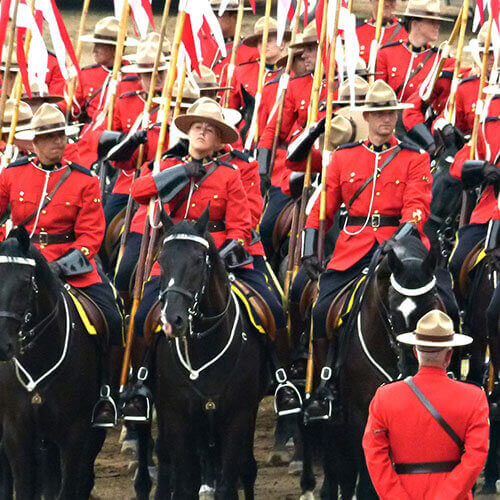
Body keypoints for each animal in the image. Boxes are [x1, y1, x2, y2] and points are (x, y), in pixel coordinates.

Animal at [0, 228, 104, 500]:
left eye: (26, 283)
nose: (2, 344)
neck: (39, 356)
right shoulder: (16, 431)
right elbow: (25, 487)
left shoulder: (75, 432)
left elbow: (67, 488)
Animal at [146, 209, 268, 498]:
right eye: (161, 259)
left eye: (199, 260)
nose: (172, 320)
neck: (204, 347)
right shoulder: (177, 417)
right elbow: (185, 484)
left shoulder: (238, 417)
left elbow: (227, 485)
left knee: (246, 467)